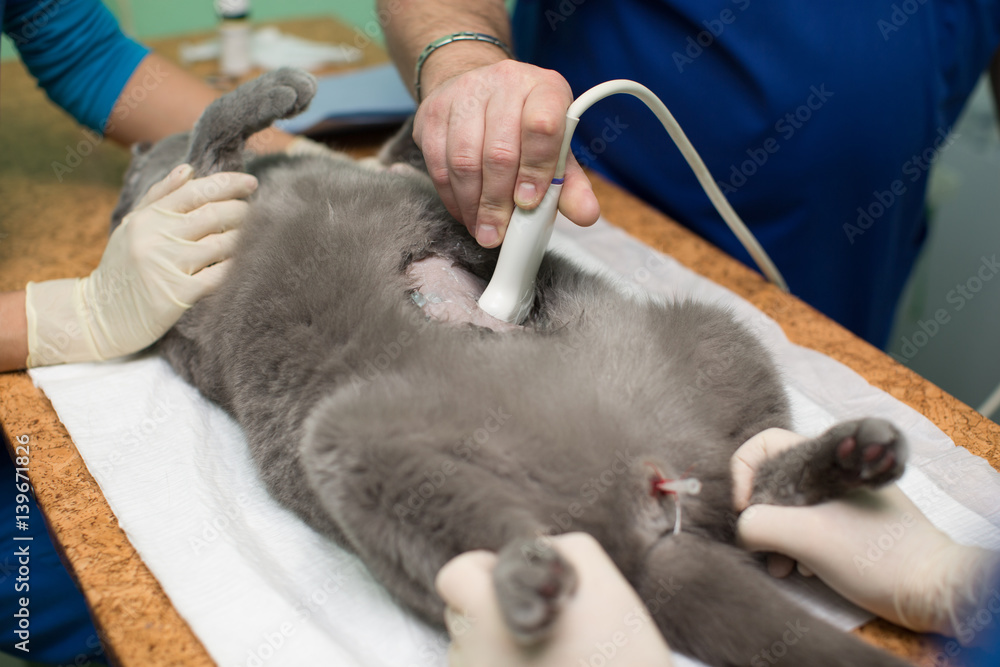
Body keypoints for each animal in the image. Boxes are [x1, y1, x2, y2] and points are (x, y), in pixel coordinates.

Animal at [111, 70, 916, 664]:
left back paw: (851, 458)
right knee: (487, 529)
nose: (134, 166)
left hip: (714, 332)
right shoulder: (197, 209)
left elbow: (394, 147)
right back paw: (528, 578)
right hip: (344, 437)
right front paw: (283, 89)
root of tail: (653, 519)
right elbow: (212, 124)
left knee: (753, 498)